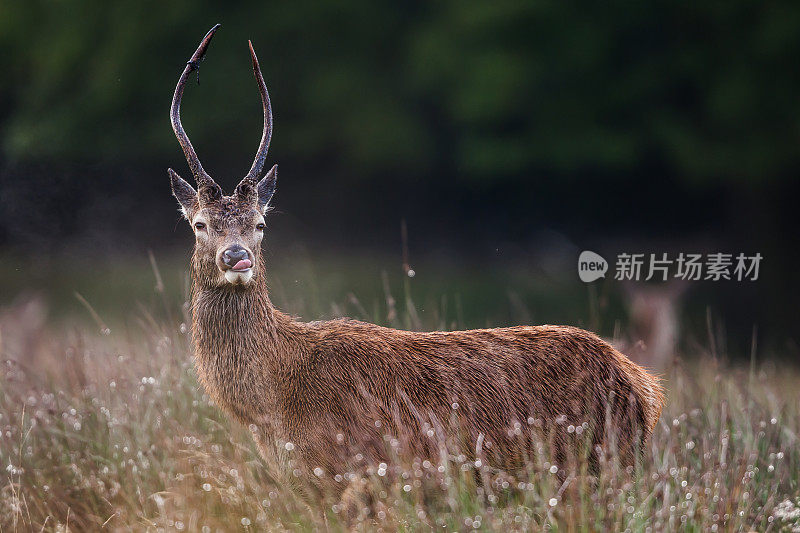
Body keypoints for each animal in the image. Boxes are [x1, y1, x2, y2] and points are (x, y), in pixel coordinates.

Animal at [167, 23, 664, 498]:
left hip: (598, 463)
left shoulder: (356, 474)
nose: (237, 256)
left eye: (260, 223)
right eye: (200, 223)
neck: (274, 405)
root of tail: (644, 385)